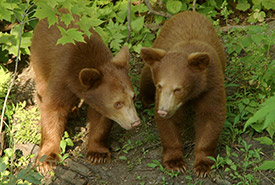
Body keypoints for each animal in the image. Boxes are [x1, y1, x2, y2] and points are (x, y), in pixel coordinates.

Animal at [31, 13, 141, 175]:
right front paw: (47, 160)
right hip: (40, 61)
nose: (135, 122)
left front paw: (98, 154)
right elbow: (52, 108)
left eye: (133, 97)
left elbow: (100, 118)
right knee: (41, 91)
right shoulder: (62, 77)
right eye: (118, 103)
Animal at [140, 11, 226, 176]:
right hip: (156, 52)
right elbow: (170, 124)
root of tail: (187, 12)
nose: (163, 111)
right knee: (146, 76)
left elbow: (211, 116)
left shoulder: (211, 85)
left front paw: (203, 165)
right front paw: (175, 162)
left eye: (178, 89)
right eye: (160, 86)